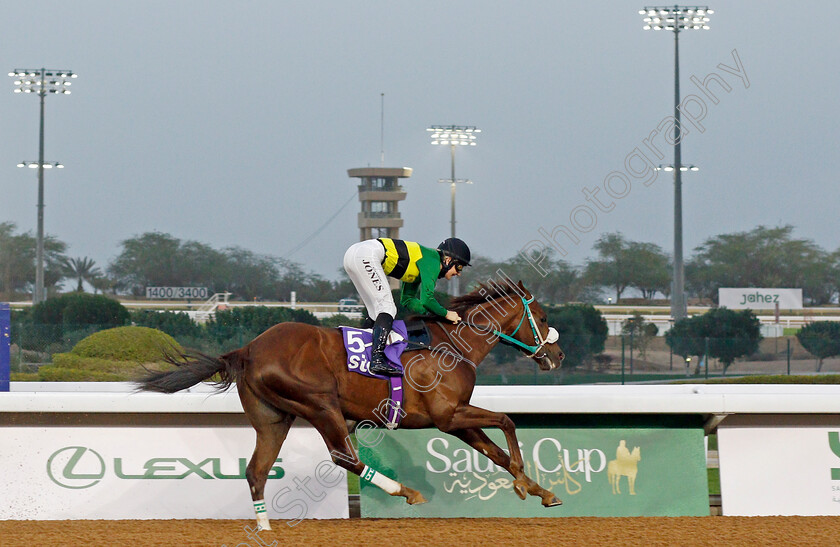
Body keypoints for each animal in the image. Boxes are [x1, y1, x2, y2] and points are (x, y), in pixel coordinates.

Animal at [139, 280, 564, 528]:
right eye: (543, 317)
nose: (557, 355)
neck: (453, 344)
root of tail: (248, 349)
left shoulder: (457, 418)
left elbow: (496, 452)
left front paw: (540, 490)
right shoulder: (447, 416)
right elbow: (507, 421)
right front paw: (525, 483)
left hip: (274, 418)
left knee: (256, 471)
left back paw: (265, 527)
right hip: (320, 405)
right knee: (343, 456)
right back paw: (405, 491)